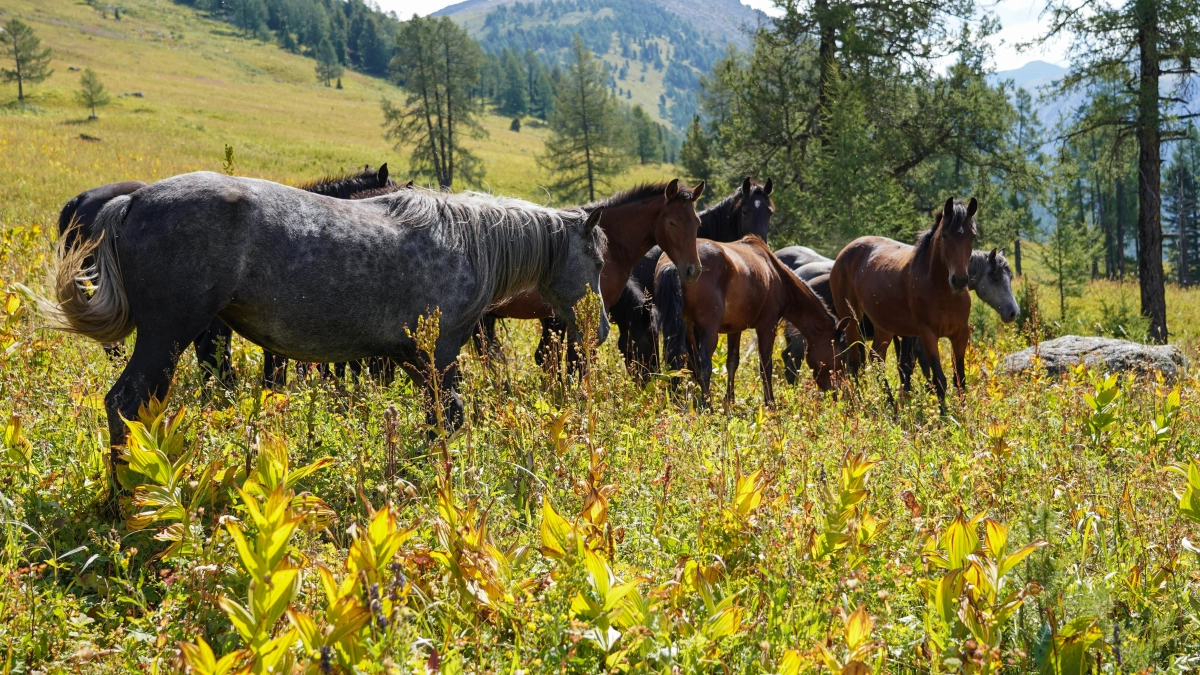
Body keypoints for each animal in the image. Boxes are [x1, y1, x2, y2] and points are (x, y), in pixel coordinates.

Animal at [50, 172, 604, 475]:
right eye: (599, 260)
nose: (598, 332)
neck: (466, 240)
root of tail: (130, 202)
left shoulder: (413, 361)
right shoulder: (440, 355)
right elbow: (448, 418)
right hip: (167, 334)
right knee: (126, 404)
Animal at [657, 235, 854, 403]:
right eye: (841, 353)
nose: (838, 391)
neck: (775, 272)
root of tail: (674, 265)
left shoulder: (734, 328)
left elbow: (732, 363)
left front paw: (730, 402)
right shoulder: (767, 326)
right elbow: (765, 366)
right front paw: (770, 403)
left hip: (688, 329)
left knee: (691, 364)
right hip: (709, 330)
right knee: (704, 366)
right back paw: (708, 406)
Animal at [830, 194, 979, 403]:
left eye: (972, 236)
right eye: (944, 235)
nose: (959, 280)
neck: (942, 291)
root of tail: (844, 253)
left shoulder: (960, 334)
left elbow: (960, 379)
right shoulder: (928, 335)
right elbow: (939, 379)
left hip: (883, 327)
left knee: (876, 358)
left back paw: (890, 404)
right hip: (851, 321)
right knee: (855, 361)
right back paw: (860, 401)